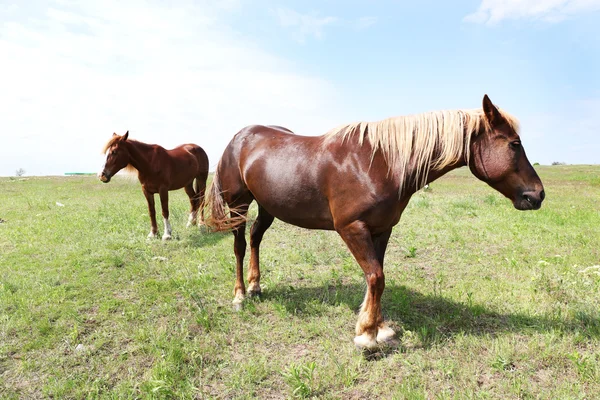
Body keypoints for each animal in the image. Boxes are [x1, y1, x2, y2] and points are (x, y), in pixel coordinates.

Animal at [204, 95, 548, 348]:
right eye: (514, 143)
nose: (538, 195)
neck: (379, 162)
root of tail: (238, 137)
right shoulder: (351, 228)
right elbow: (375, 276)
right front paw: (366, 335)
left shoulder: (382, 229)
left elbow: (378, 277)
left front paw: (379, 328)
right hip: (238, 204)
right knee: (238, 245)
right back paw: (240, 295)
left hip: (268, 206)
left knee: (255, 238)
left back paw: (256, 285)